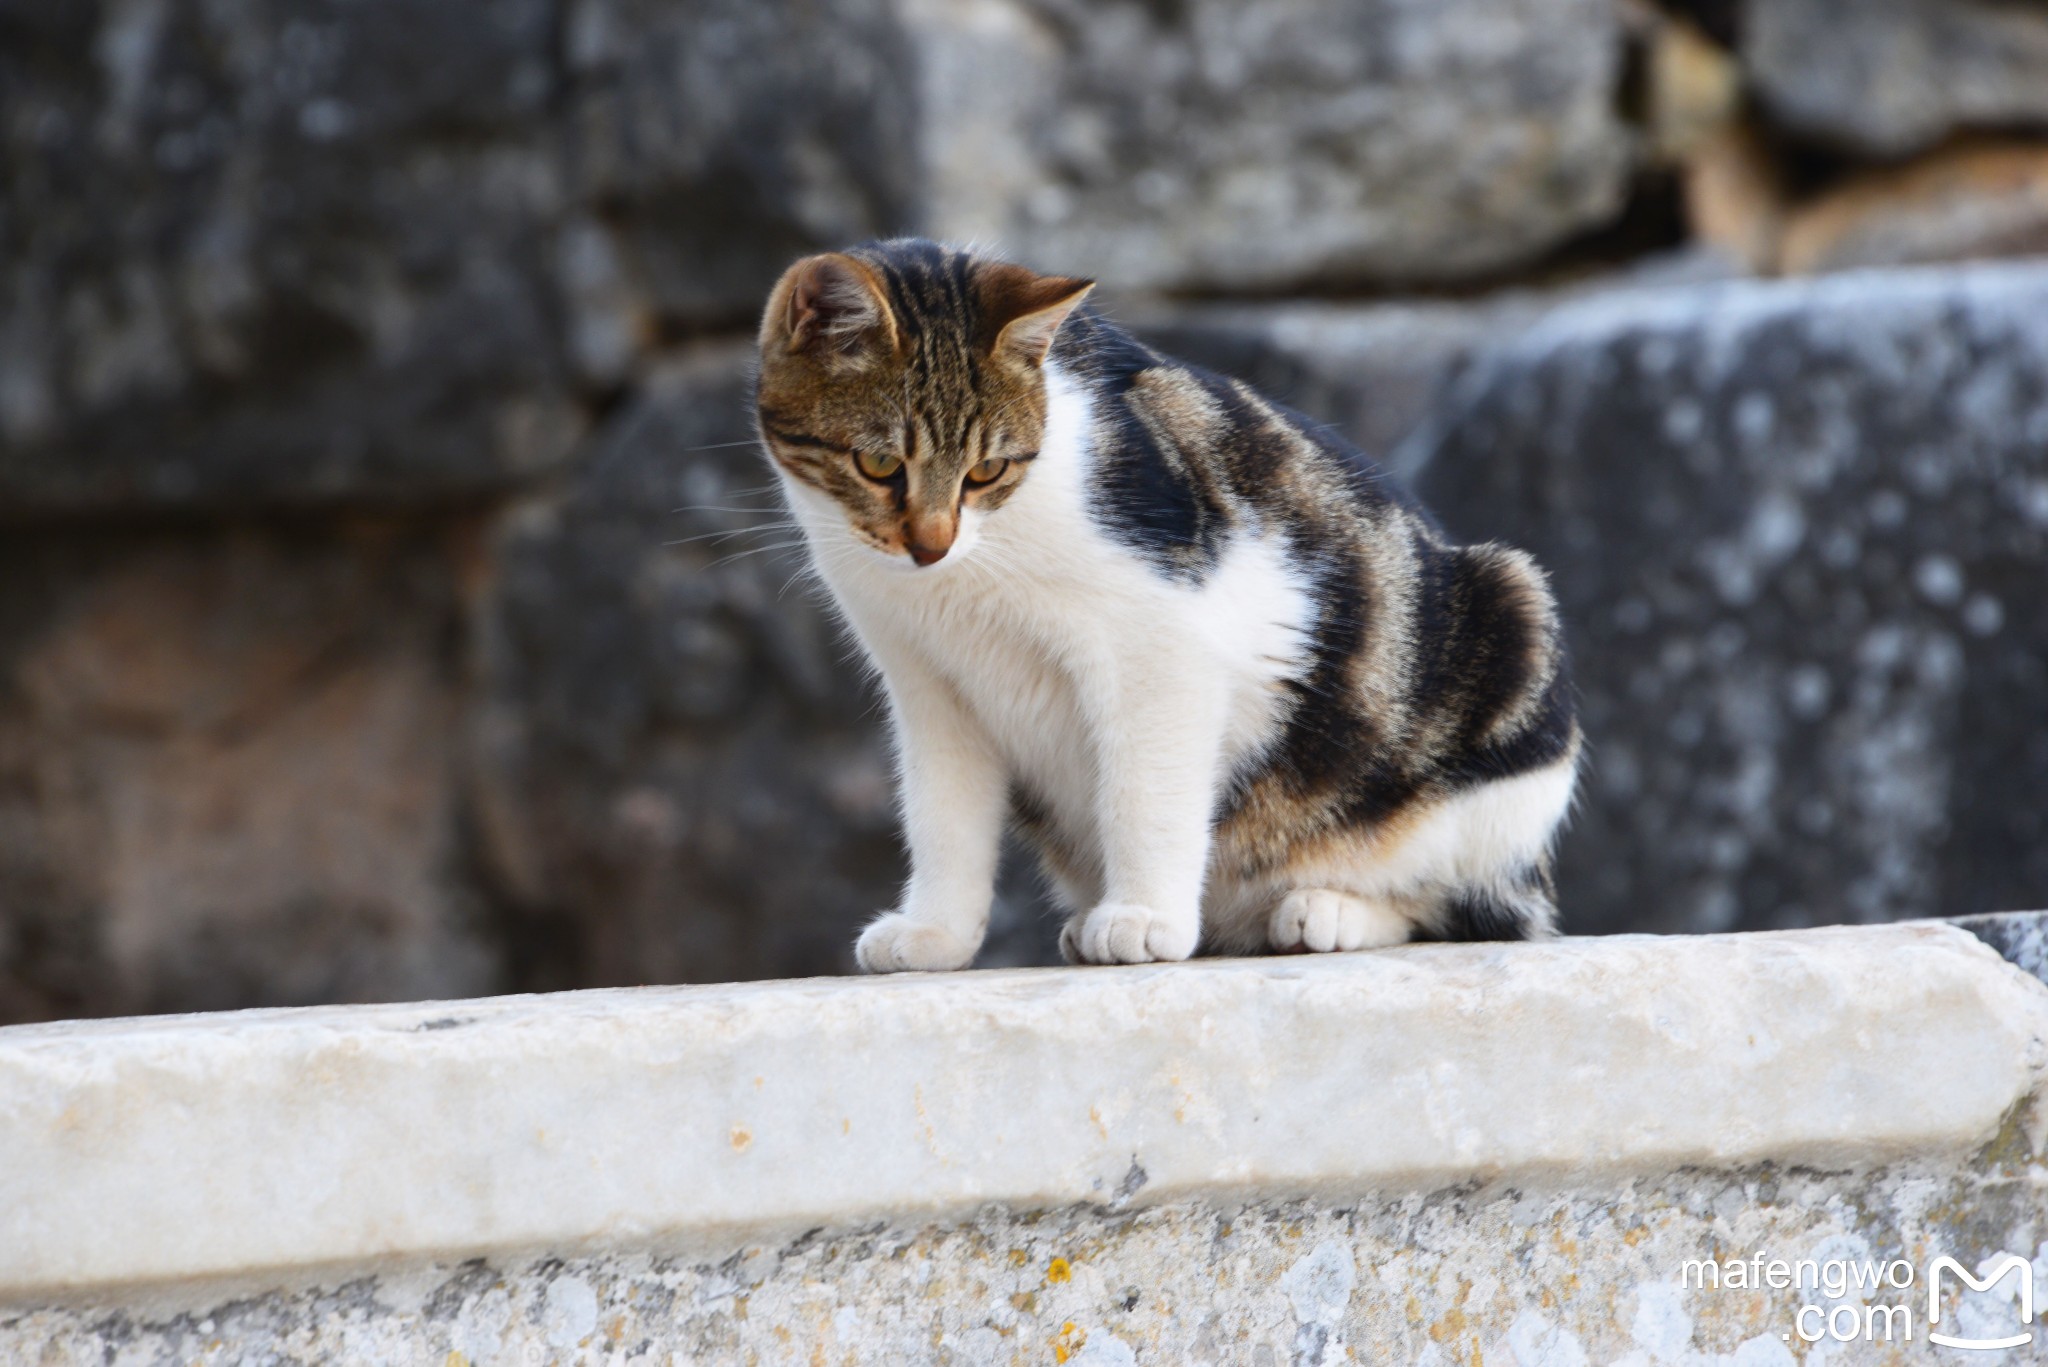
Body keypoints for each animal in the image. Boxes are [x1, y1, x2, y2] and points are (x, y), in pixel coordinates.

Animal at [761, 240, 1572, 967]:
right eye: (878, 463)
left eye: (987, 470)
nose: (931, 546)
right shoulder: (928, 685)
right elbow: (943, 815)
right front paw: (934, 934)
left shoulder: (1162, 643)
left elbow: (1145, 791)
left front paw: (1144, 918)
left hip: (1514, 615)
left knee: (1466, 909)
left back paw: (1326, 910)